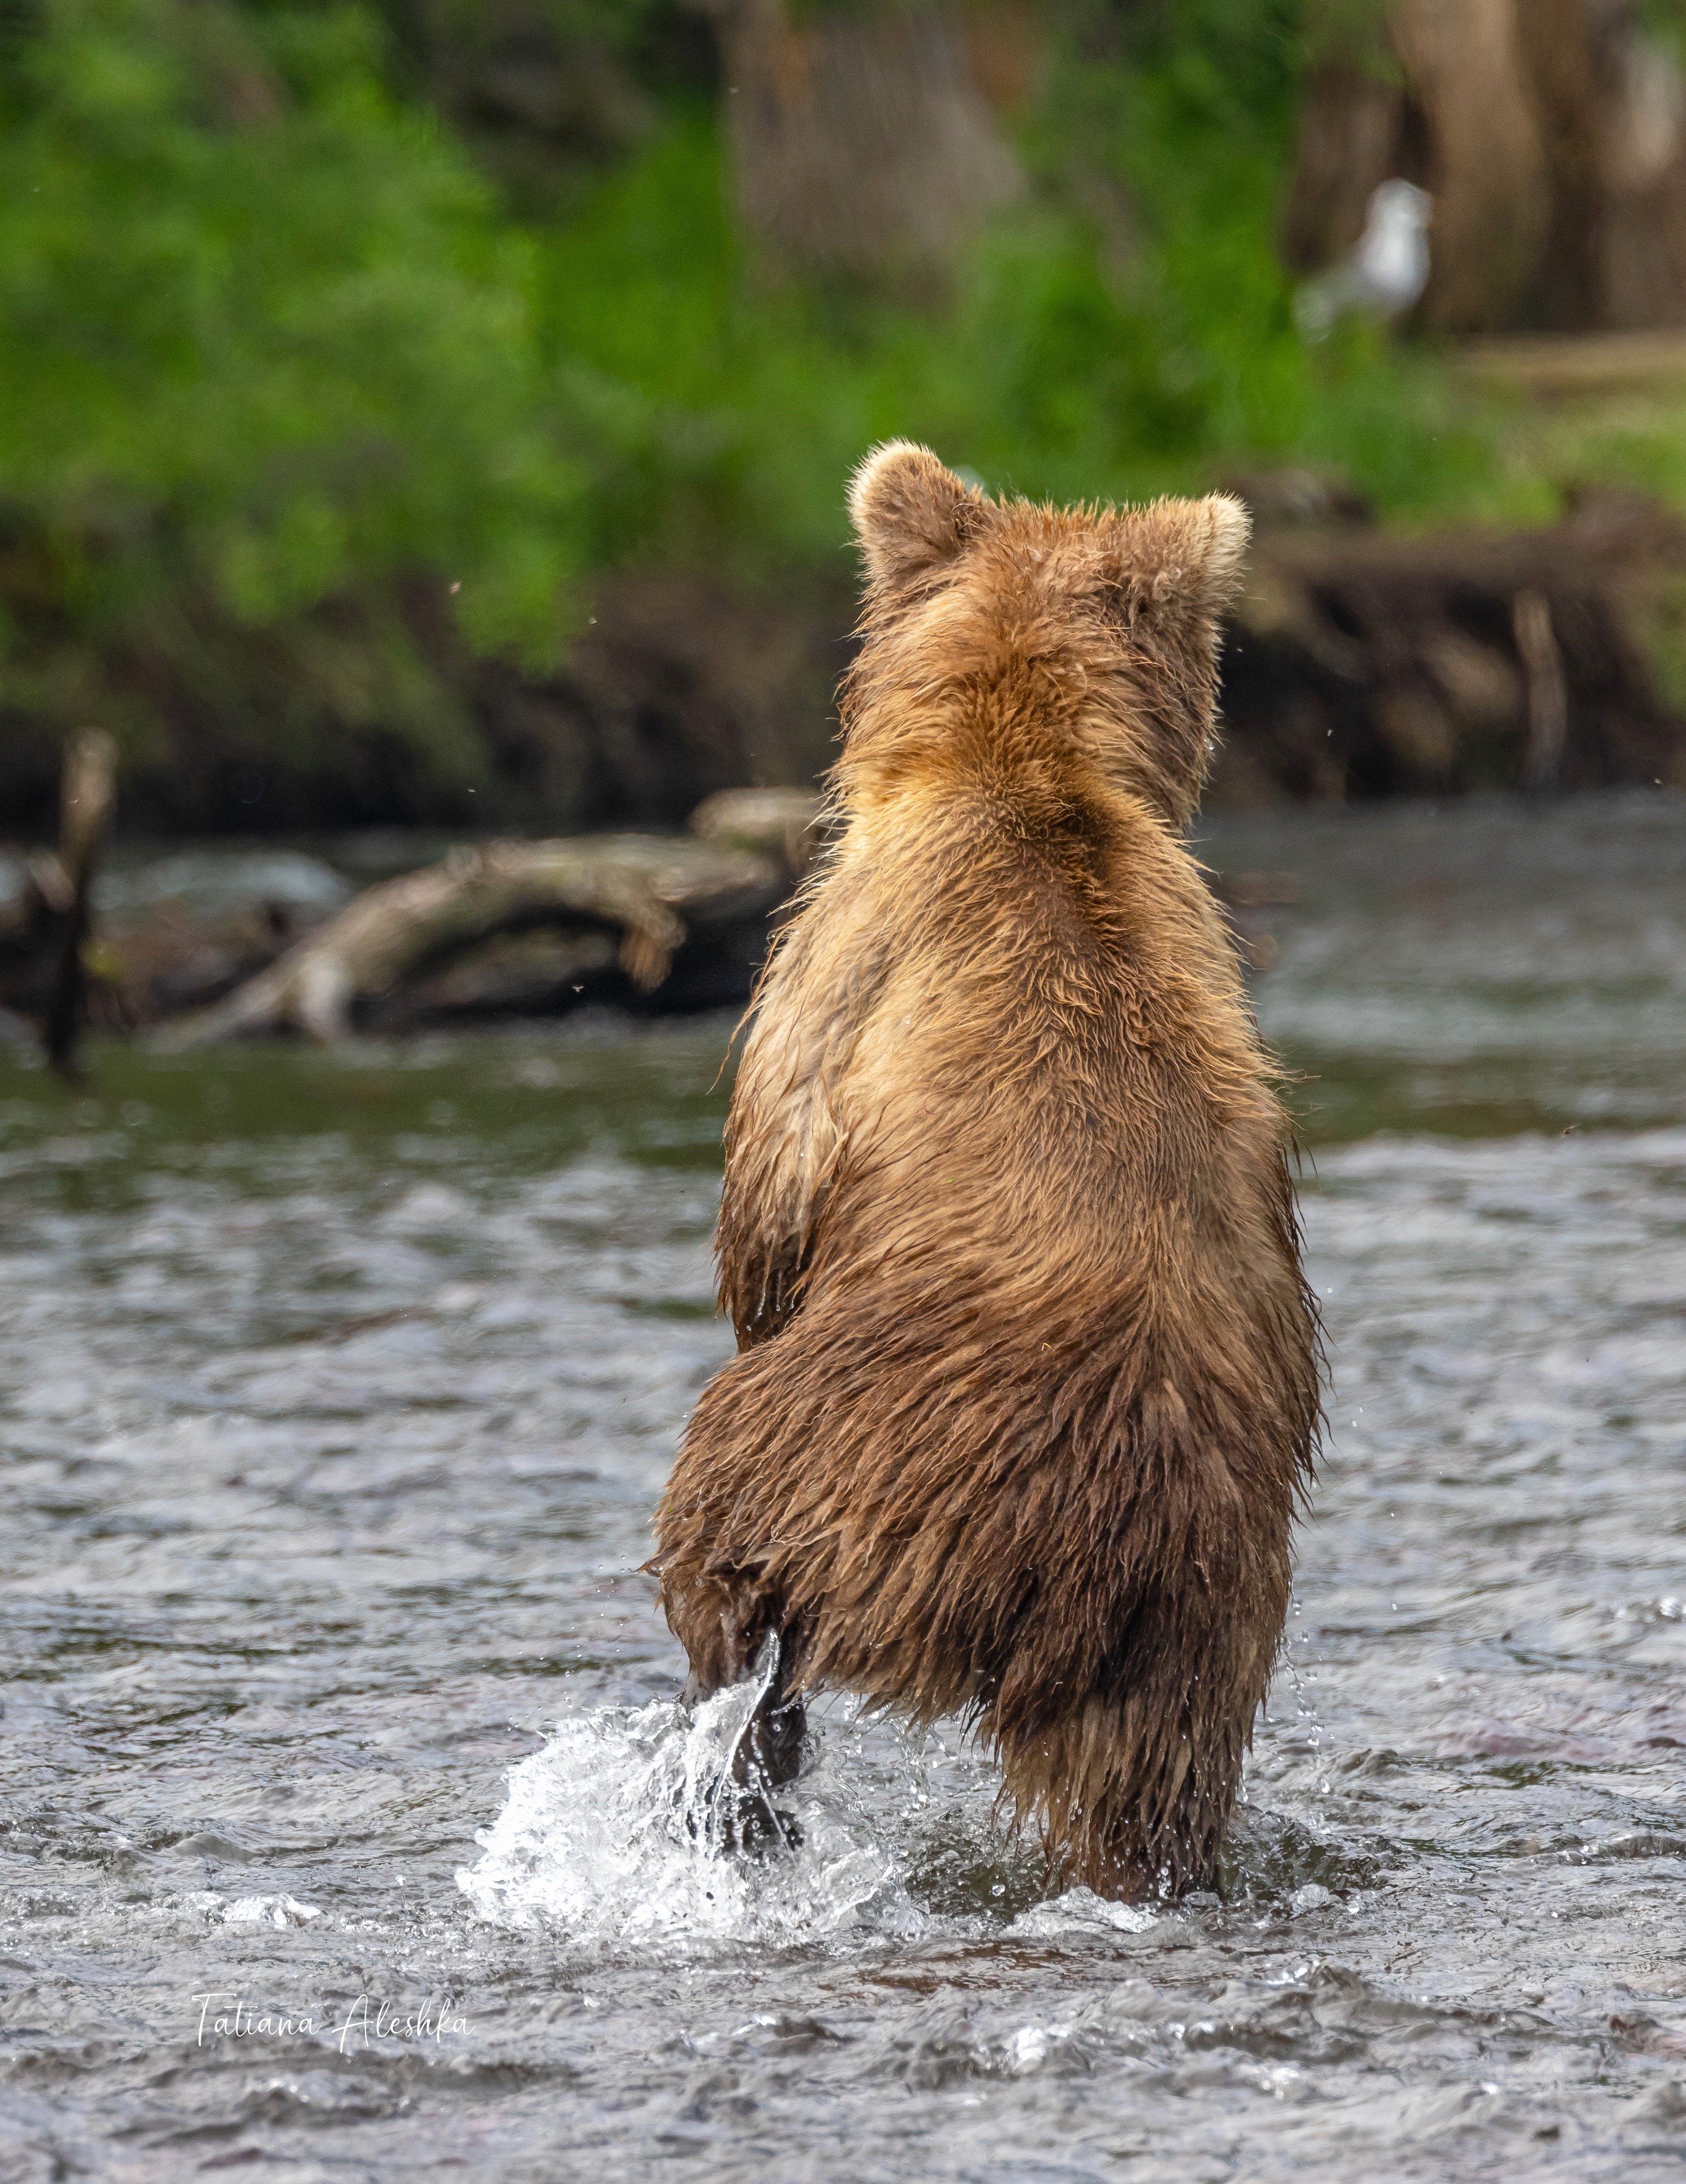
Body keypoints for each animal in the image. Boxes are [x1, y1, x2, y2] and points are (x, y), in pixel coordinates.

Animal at [650, 443, 1328, 1895]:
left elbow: (764, 1207)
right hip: (1203, 1617)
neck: (1026, 754)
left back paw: (738, 1770)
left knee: (724, 1559)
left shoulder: (837, 966)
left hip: (828, 1455)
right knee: (1152, 1789)